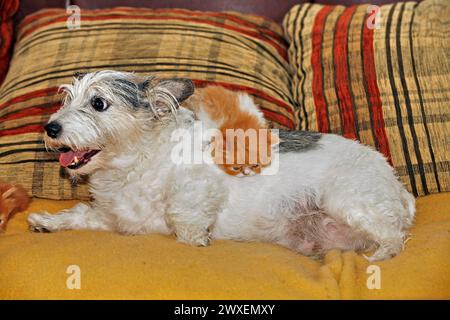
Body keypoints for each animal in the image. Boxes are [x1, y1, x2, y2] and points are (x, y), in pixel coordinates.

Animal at [28, 71, 414, 262]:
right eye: (67, 99)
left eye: (98, 103)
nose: (51, 127)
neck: (132, 164)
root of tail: (396, 184)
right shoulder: (113, 218)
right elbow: (79, 214)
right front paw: (47, 221)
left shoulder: (203, 183)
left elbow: (180, 211)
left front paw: (196, 237)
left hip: (347, 200)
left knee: (394, 236)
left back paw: (382, 254)